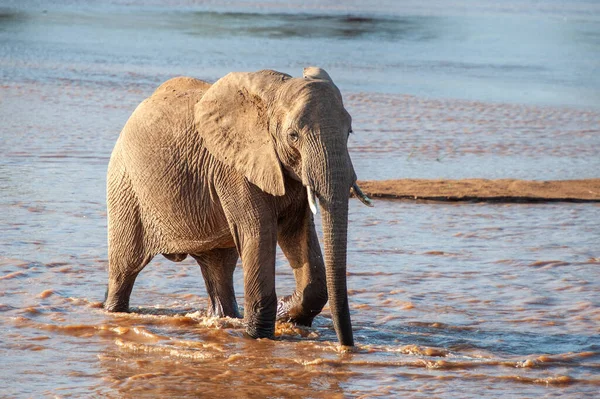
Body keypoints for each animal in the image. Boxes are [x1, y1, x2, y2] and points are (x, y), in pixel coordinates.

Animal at [105, 69, 372, 346]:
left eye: (350, 132)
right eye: (293, 136)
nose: (347, 345)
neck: (273, 94)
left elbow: (297, 232)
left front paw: (284, 314)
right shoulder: (234, 170)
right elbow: (258, 232)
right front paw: (259, 335)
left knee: (218, 269)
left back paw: (225, 318)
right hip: (125, 187)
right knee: (125, 267)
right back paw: (114, 311)